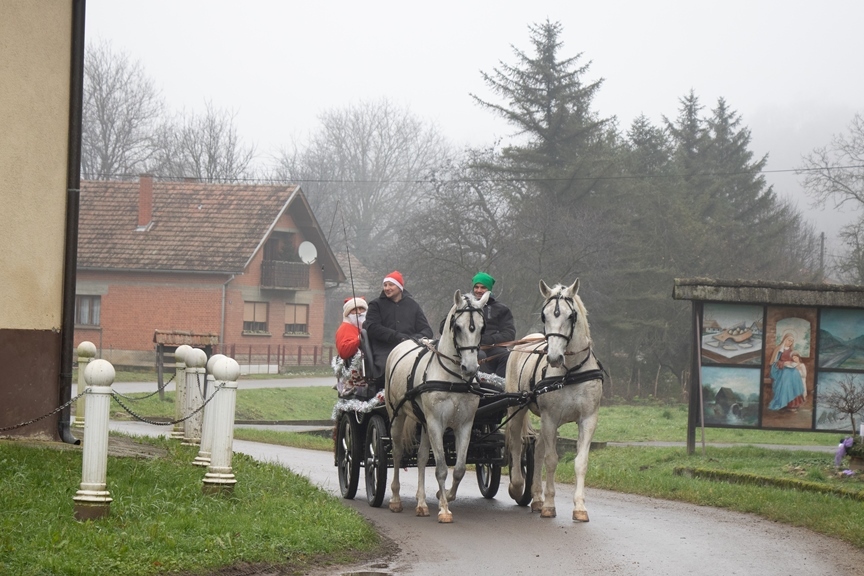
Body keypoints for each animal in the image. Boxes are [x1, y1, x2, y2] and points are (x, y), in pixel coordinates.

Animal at [384, 288, 486, 520]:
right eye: (457, 327)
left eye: (481, 327)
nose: (470, 368)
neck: (453, 378)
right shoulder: (436, 423)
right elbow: (441, 468)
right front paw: (445, 510)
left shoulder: (464, 425)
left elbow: (458, 469)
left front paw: (444, 495)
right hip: (397, 415)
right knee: (397, 452)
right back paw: (395, 499)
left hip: (424, 423)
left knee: (421, 457)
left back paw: (421, 503)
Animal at [502, 280, 604, 520]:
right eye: (544, 316)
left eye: (570, 315)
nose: (554, 358)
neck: (571, 371)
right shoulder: (550, 417)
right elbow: (551, 459)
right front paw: (549, 504)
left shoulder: (588, 419)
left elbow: (580, 462)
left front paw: (579, 507)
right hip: (517, 408)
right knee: (517, 445)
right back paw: (518, 486)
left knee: (537, 448)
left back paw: (537, 498)